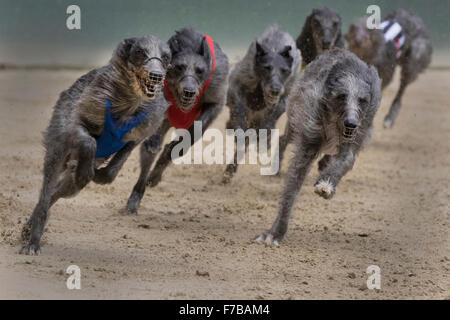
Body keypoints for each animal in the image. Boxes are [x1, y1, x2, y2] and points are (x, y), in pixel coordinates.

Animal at [18, 35, 171, 255]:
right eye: (140, 52)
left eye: (166, 57)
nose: (156, 76)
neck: (129, 101)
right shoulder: (82, 116)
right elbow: (88, 140)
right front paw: (86, 171)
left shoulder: (141, 131)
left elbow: (122, 156)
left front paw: (101, 175)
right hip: (58, 148)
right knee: (47, 192)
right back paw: (33, 241)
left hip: (71, 183)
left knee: (57, 193)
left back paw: (29, 228)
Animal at [125, 28, 229, 215]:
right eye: (179, 67)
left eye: (200, 70)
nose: (189, 91)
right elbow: (152, 140)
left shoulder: (215, 92)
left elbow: (194, 131)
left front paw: (172, 150)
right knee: (151, 149)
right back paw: (138, 192)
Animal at [222, 25, 300, 182]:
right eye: (266, 67)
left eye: (284, 70)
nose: (275, 89)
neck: (275, 46)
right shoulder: (238, 81)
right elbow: (239, 107)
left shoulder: (286, 93)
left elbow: (275, 112)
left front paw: (265, 136)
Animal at [256, 48, 380, 246]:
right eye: (342, 96)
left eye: (362, 100)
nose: (351, 124)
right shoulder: (309, 129)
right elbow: (294, 183)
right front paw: (274, 233)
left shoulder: (359, 130)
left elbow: (346, 158)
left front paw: (326, 184)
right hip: (294, 115)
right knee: (283, 139)